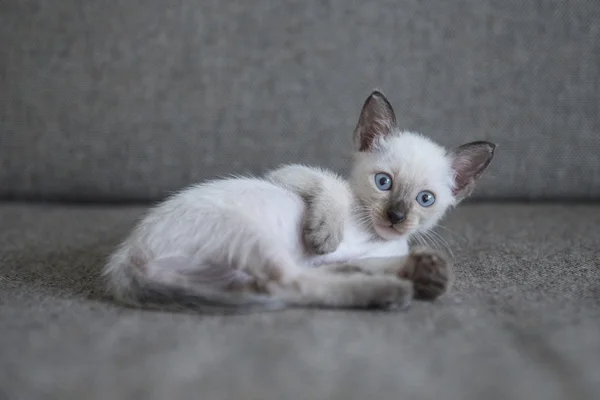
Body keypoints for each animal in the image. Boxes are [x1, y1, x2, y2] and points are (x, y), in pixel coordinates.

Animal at [104, 91, 496, 312]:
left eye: (425, 199)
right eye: (383, 182)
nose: (397, 216)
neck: (370, 235)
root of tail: (123, 262)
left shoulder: (374, 253)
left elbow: (376, 260)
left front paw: (426, 269)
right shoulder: (287, 174)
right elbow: (330, 186)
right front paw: (325, 234)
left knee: (301, 281)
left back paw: (411, 275)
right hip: (246, 234)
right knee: (288, 282)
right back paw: (390, 290)